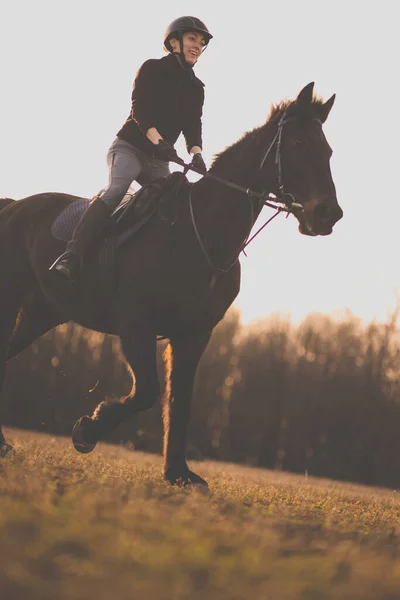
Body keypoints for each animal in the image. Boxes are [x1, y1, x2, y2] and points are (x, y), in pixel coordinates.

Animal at [0, 83, 344, 488]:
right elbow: (148, 392)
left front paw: (178, 473)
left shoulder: (194, 334)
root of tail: (13, 206)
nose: (328, 214)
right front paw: (87, 430)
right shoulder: (136, 325)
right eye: (299, 143)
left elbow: (180, 401)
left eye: (328, 151)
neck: (202, 234)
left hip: (41, 313)